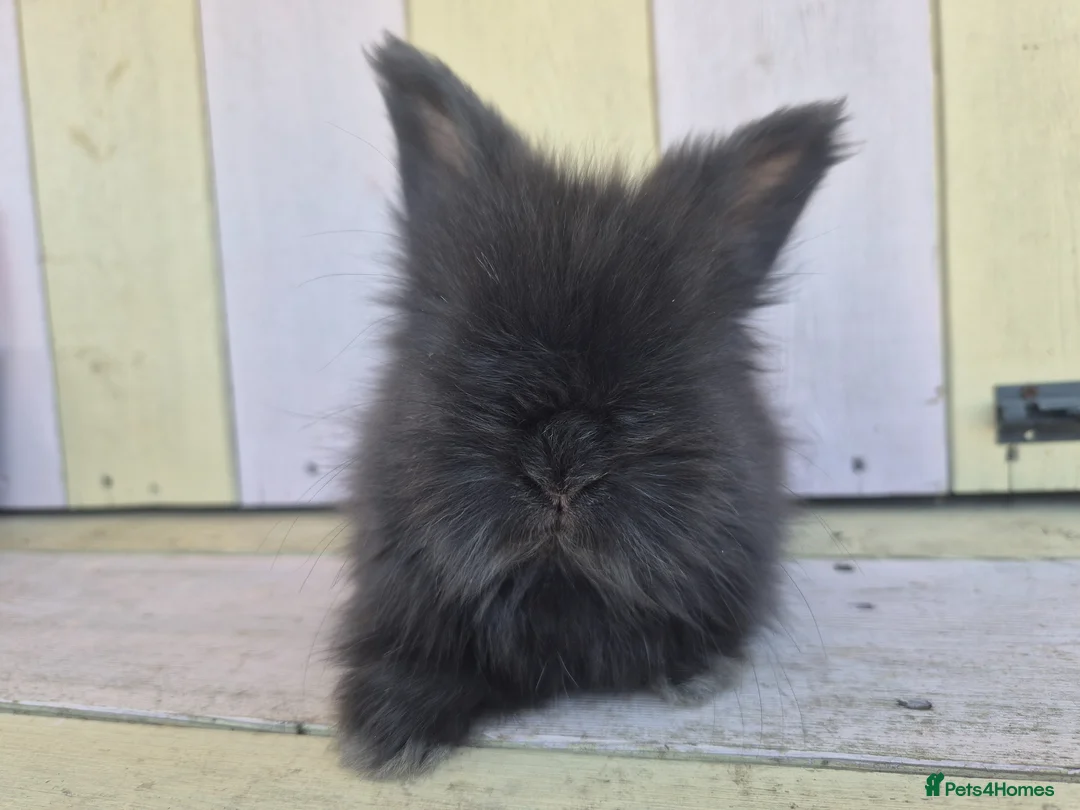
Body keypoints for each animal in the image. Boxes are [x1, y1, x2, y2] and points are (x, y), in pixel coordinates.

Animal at [333, 33, 846, 780]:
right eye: (467, 343)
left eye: (665, 360)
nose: (563, 452)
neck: (559, 591)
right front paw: (385, 734)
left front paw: (694, 672)